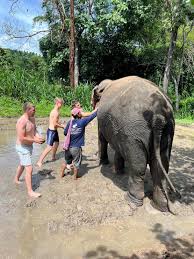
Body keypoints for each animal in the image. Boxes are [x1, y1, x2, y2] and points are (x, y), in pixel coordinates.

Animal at [91, 76, 180, 214]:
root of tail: (158, 114)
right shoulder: (118, 129)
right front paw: (118, 172)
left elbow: (102, 138)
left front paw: (102, 163)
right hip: (168, 130)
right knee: (161, 166)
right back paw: (161, 207)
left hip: (135, 131)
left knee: (138, 167)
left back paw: (132, 202)